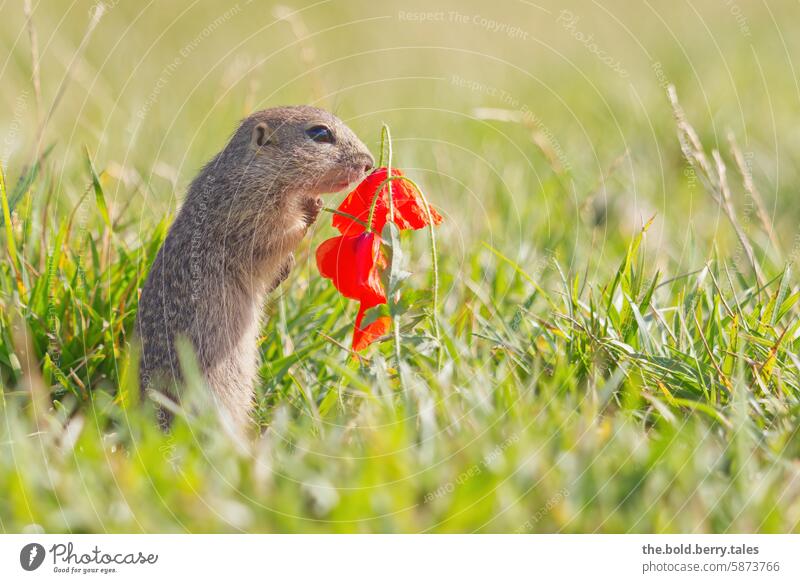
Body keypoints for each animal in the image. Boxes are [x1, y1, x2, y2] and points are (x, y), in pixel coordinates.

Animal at [136, 108, 374, 428]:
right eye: (321, 134)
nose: (369, 163)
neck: (257, 170)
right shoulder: (249, 214)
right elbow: (277, 239)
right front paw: (312, 208)